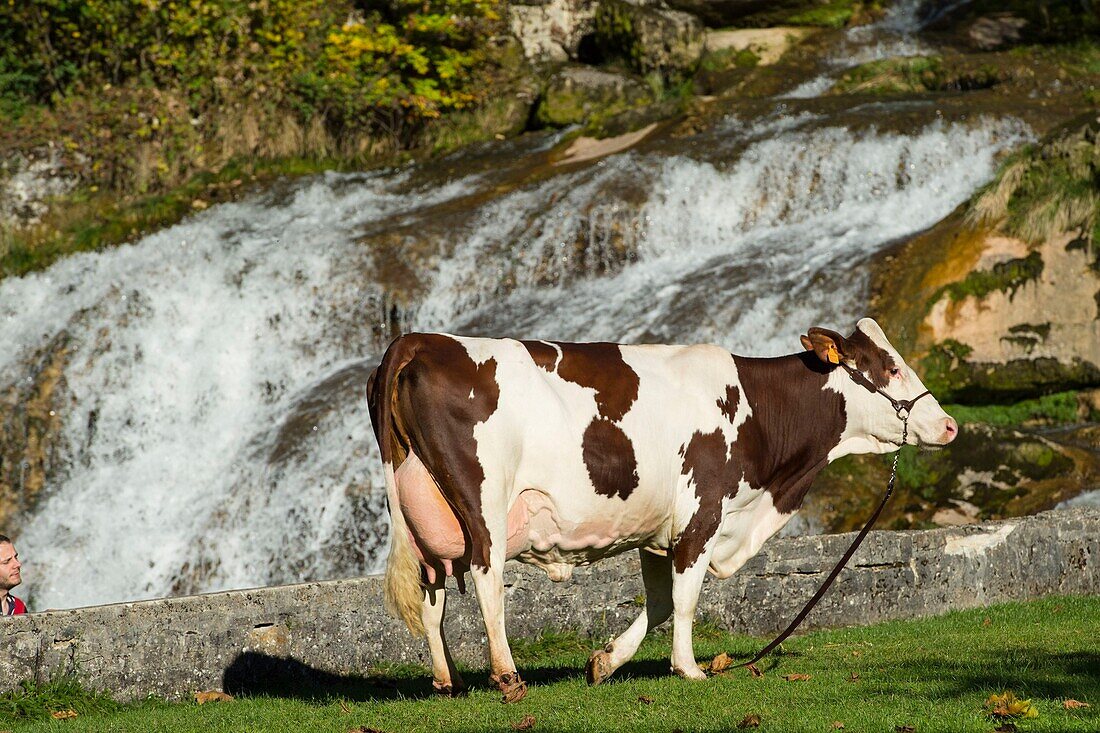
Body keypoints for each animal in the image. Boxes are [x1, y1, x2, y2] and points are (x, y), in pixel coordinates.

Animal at [367, 316, 954, 699]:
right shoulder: (702, 510)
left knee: (432, 591)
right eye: (891, 368)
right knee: (487, 578)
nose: (948, 425)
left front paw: (605, 662)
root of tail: (418, 341)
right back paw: (508, 676)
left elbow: (661, 600)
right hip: (482, 499)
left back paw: (448, 680)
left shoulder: (657, 528)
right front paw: (689, 668)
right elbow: (687, 596)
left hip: (423, 508)